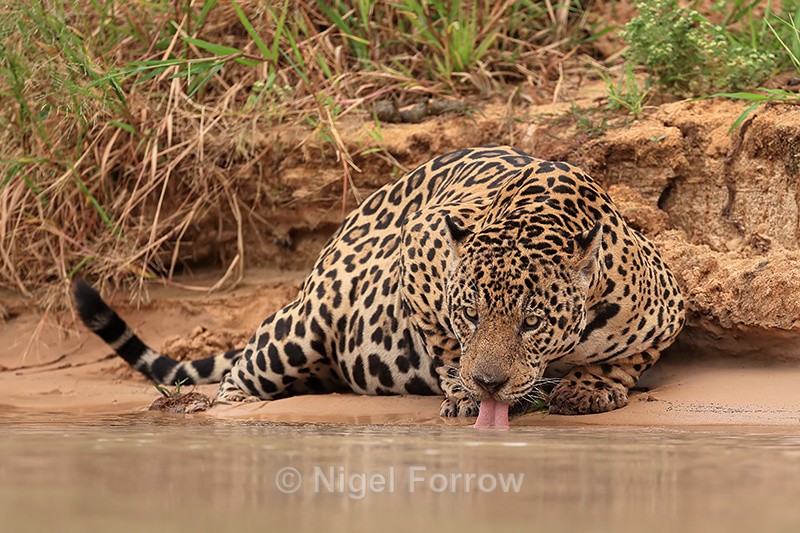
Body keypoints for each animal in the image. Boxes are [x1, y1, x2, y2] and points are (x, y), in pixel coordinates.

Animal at [73, 145, 685, 419]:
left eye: (532, 322)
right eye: (469, 315)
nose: (489, 384)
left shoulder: (668, 306)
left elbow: (628, 358)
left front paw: (591, 386)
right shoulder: (421, 243)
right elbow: (443, 346)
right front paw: (462, 390)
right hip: (302, 323)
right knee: (244, 367)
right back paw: (226, 406)